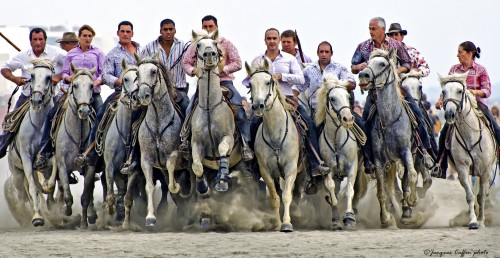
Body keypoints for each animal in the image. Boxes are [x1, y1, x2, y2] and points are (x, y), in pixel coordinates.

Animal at [4, 59, 55, 228]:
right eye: (31, 76)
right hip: (17, 173)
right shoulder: (27, 158)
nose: (37, 100)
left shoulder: (48, 157)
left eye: (48, 77)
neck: (39, 125)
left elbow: (51, 181)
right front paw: (37, 217)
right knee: (25, 191)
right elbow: (33, 189)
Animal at [46, 63, 95, 217]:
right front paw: (65, 210)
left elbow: (85, 197)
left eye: (91, 85)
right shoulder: (62, 165)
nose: (84, 111)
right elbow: (68, 195)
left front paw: (86, 220)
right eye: (75, 85)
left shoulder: (90, 168)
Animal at [245, 60, 304, 232]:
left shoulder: (291, 168)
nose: (258, 106)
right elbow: (274, 197)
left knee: (296, 194)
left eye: (268, 82)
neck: (276, 135)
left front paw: (287, 223)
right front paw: (278, 224)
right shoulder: (265, 170)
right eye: (250, 84)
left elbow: (286, 196)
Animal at [358, 49, 420, 227]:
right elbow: (381, 191)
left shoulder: (406, 151)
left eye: (382, 64)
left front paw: (412, 200)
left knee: (406, 180)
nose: (363, 75)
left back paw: (406, 211)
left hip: (409, 155)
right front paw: (386, 218)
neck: (389, 120)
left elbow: (412, 175)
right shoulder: (379, 160)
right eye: (367, 63)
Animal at [438, 72, 496, 230]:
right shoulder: (463, 168)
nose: (450, 114)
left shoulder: (485, 170)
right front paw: (473, 221)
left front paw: (481, 221)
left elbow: (481, 196)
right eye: (444, 91)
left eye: (460, 91)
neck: (470, 135)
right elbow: (470, 195)